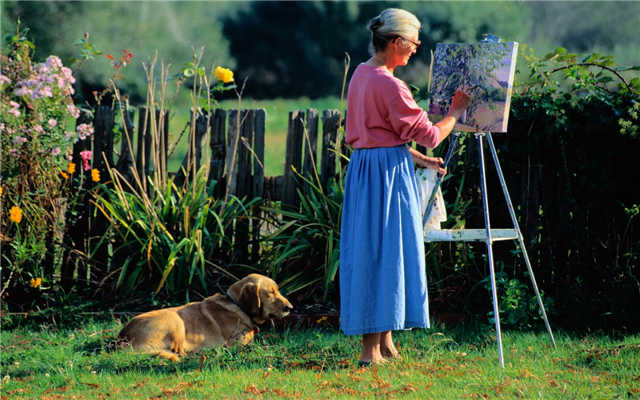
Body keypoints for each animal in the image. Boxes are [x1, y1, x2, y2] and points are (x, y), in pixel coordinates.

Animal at [117, 274, 292, 360]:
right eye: (271, 292)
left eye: (277, 290)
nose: (290, 308)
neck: (237, 305)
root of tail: (122, 342)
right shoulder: (238, 345)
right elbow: (266, 346)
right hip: (174, 319)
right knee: (180, 352)